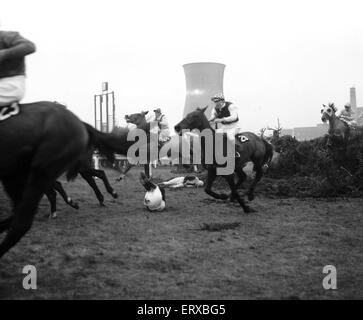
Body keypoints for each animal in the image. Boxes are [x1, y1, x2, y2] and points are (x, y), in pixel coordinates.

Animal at [0, 102, 131, 258]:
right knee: (93, 179)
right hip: (80, 169)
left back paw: (110, 193)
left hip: (78, 167)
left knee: (98, 174)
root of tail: (82, 126)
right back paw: (100, 199)